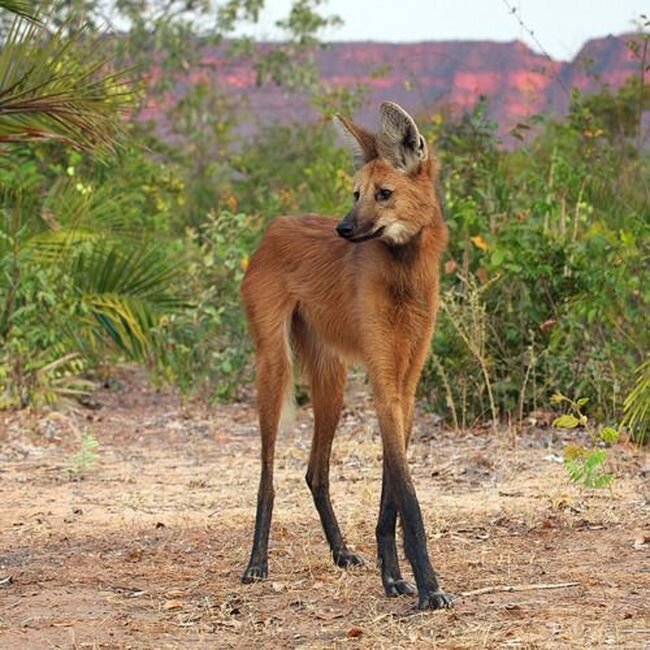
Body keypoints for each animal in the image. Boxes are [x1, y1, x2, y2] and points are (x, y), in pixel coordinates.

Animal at [239, 101, 450, 608]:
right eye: (356, 194)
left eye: (384, 194)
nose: (344, 228)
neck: (404, 274)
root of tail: (274, 226)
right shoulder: (383, 379)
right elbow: (408, 496)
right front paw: (428, 587)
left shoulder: (405, 384)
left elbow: (392, 491)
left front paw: (394, 579)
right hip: (275, 367)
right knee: (267, 474)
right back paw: (256, 563)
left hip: (331, 381)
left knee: (315, 471)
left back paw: (340, 551)